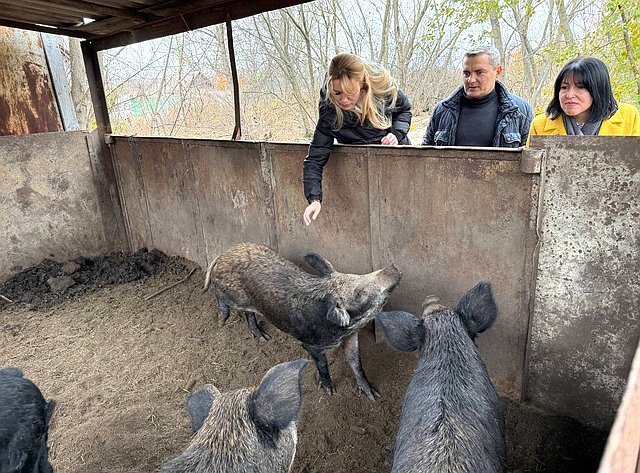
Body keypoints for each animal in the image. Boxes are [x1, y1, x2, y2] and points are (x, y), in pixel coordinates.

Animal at [202, 242, 400, 400]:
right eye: (359, 293)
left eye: (355, 276)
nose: (393, 268)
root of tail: (223, 254)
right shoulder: (310, 345)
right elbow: (323, 364)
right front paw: (330, 391)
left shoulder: (350, 337)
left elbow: (356, 362)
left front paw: (374, 396)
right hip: (230, 295)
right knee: (219, 295)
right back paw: (222, 320)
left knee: (248, 314)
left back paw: (263, 338)